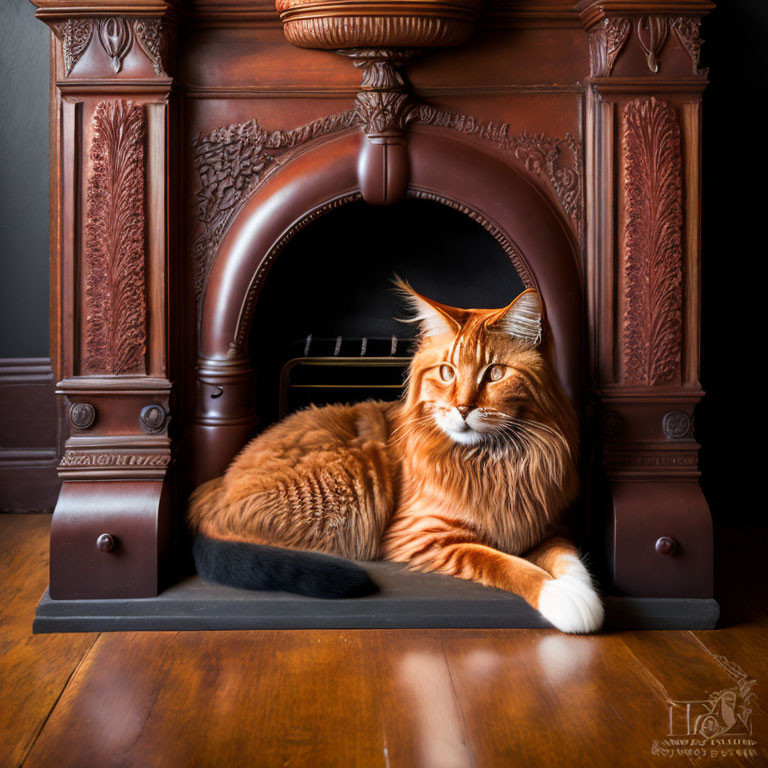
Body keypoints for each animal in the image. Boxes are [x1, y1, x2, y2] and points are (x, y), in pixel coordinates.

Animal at [188, 284, 608, 632]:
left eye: (495, 374)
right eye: (447, 372)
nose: (463, 408)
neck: (495, 461)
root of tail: (215, 485)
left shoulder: (549, 526)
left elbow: (571, 561)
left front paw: (581, 597)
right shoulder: (424, 535)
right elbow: (507, 564)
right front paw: (560, 599)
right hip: (354, 483)